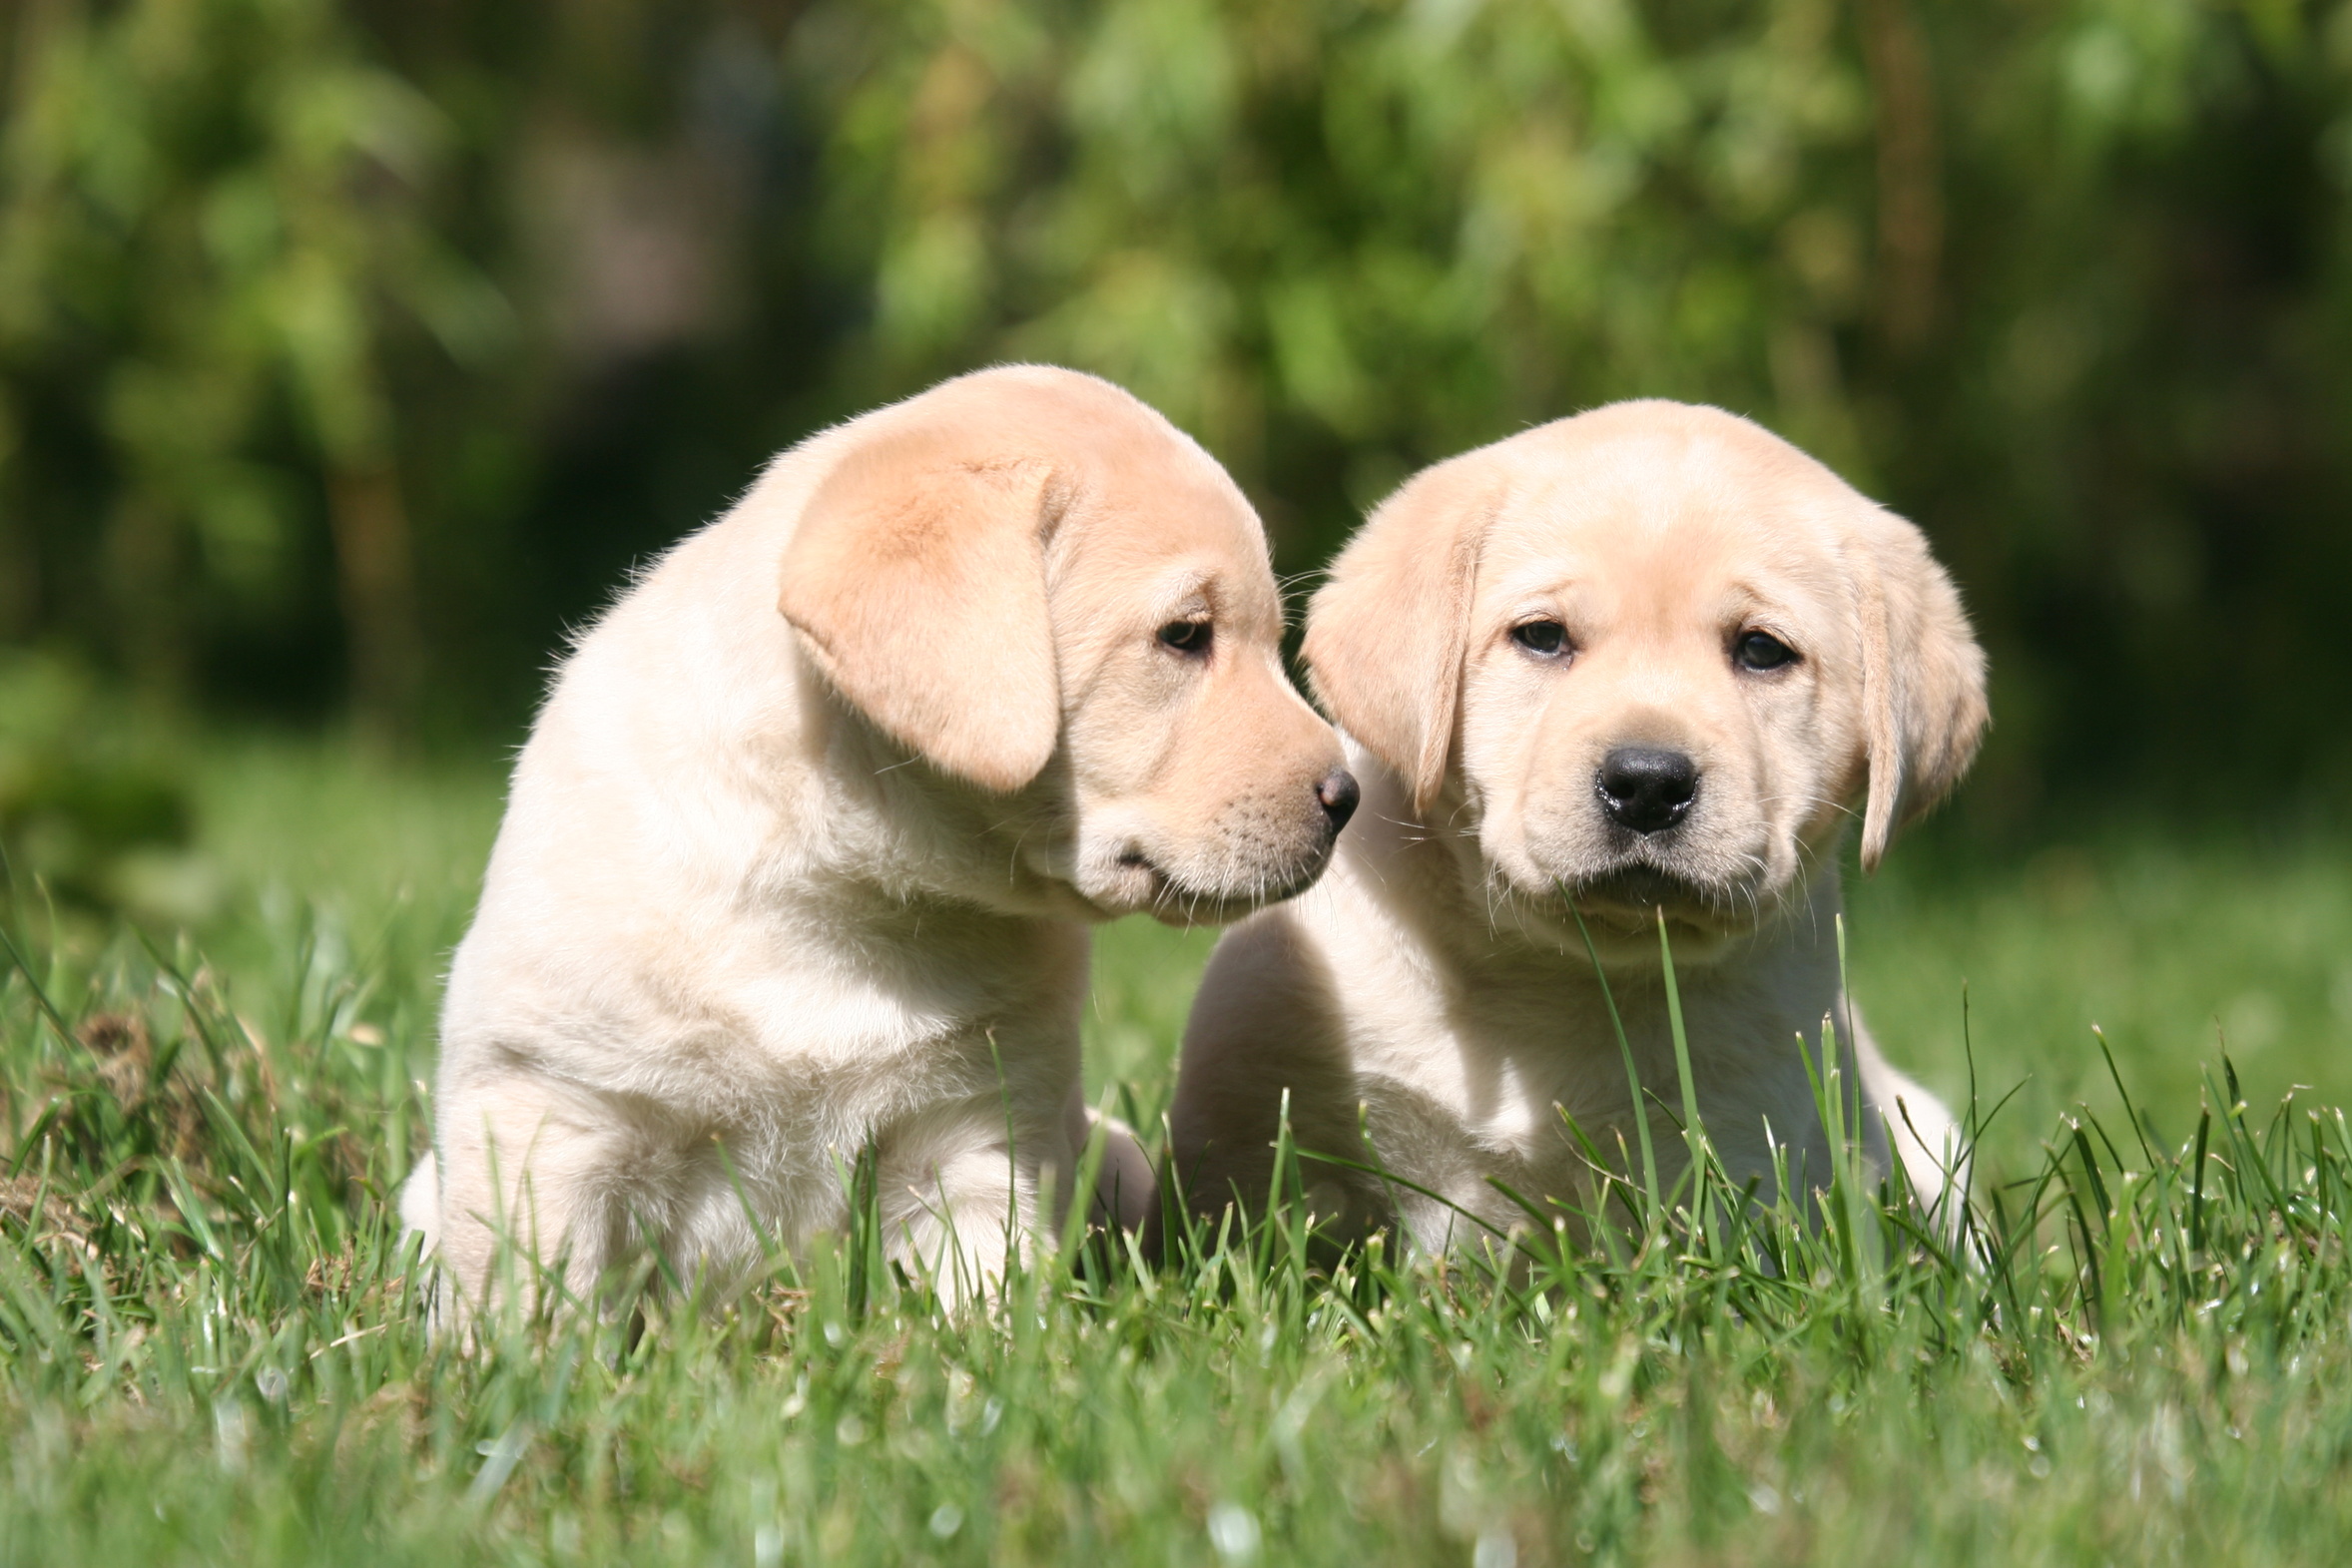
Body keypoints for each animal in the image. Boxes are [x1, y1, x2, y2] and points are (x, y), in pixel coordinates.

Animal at [406, 368, 1364, 1315]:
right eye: (1185, 635)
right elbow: (532, 1311)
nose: (1347, 797)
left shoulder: (977, 1137)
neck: (837, 897)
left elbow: (985, 1304)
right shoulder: (550, 1120)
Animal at [1157, 401, 1985, 1251]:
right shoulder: (1261, 1114)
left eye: (1762, 650)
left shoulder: (1747, 1159)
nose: (1648, 784)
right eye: (1543, 636)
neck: (1562, 972)